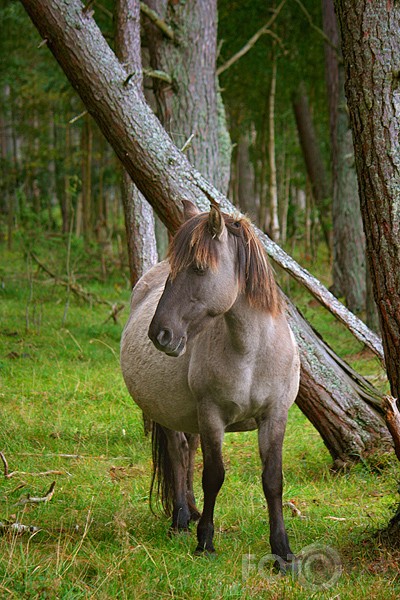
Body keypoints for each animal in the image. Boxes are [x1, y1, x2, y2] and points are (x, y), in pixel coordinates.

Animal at [122, 202, 300, 564]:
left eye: (200, 268)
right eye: (176, 269)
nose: (160, 334)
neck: (252, 354)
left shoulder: (274, 416)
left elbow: (272, 480)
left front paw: (282, 551)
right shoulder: (212, 416)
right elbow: (213, 476)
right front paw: (205, 541)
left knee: (188, 452)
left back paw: (190, 511)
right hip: (169, 413)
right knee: (178, 453)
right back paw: (180, 518)